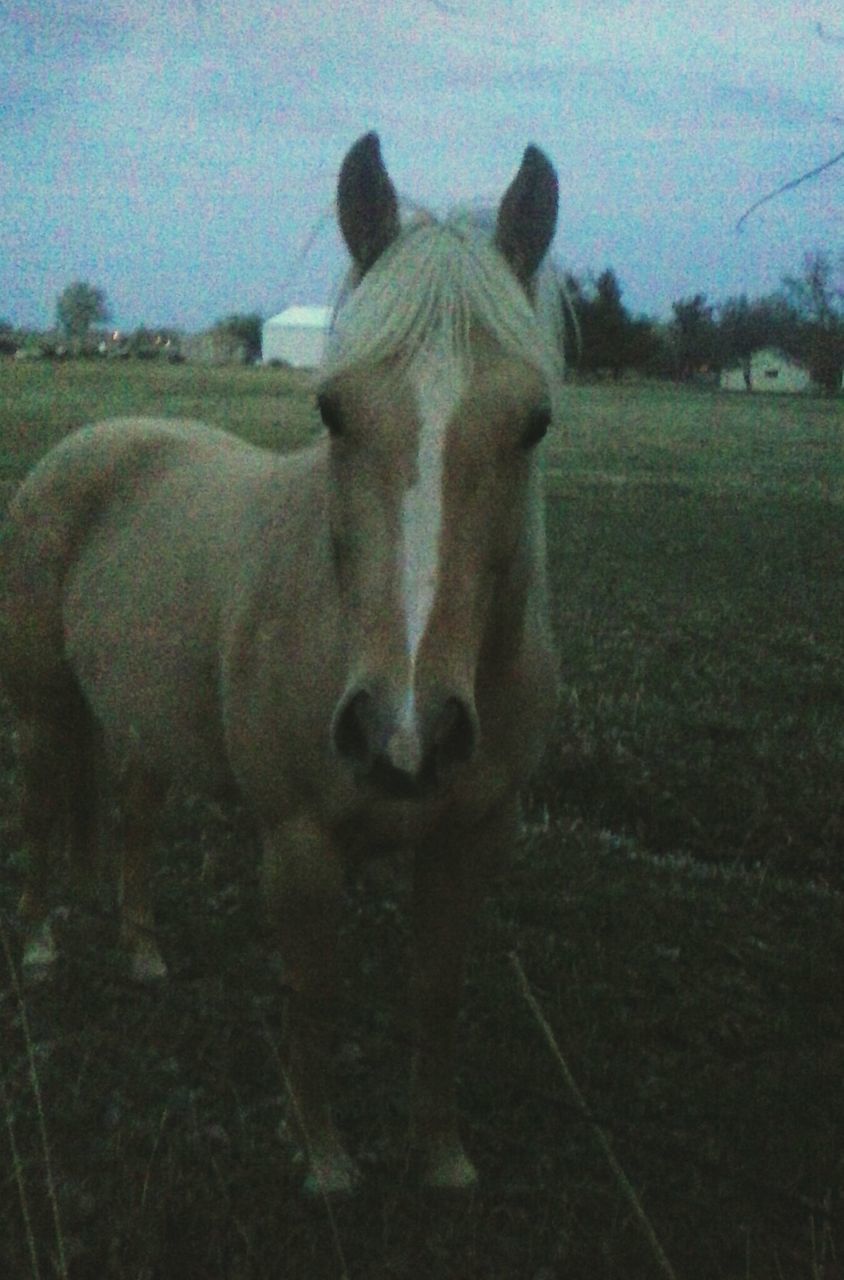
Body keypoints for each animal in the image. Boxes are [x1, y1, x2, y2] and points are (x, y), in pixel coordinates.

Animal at [1, 135, 568, 1192]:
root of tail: (81, 448)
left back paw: (142, 954)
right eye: (332, 410)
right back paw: (43, 945)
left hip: (146, 719)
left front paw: (443, 1159)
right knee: (43, 816)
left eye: (536, 422)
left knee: (133, 817)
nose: (404, 732)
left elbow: (438, 994)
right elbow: (315, 993)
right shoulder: (300, 843)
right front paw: (327, 1161)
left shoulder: (470, 838)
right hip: (45, 712)